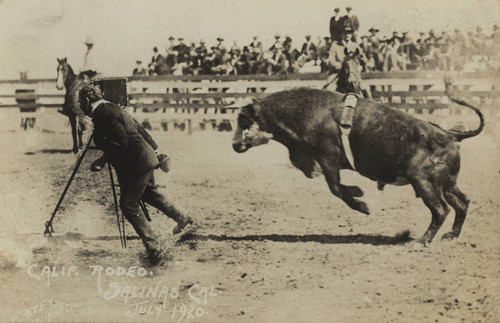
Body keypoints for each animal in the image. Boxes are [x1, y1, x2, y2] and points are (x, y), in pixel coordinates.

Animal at [233, 88, 484, 246]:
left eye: (244, 120)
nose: (235, 144)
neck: (305, 111)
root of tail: (451, 135)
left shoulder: (329, 157)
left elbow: (335, 187)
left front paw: (362, 202)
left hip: (423, 182)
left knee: (441, 209)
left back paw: (422, 240)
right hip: (447, 184)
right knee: (462, 203)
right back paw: (451, 235)